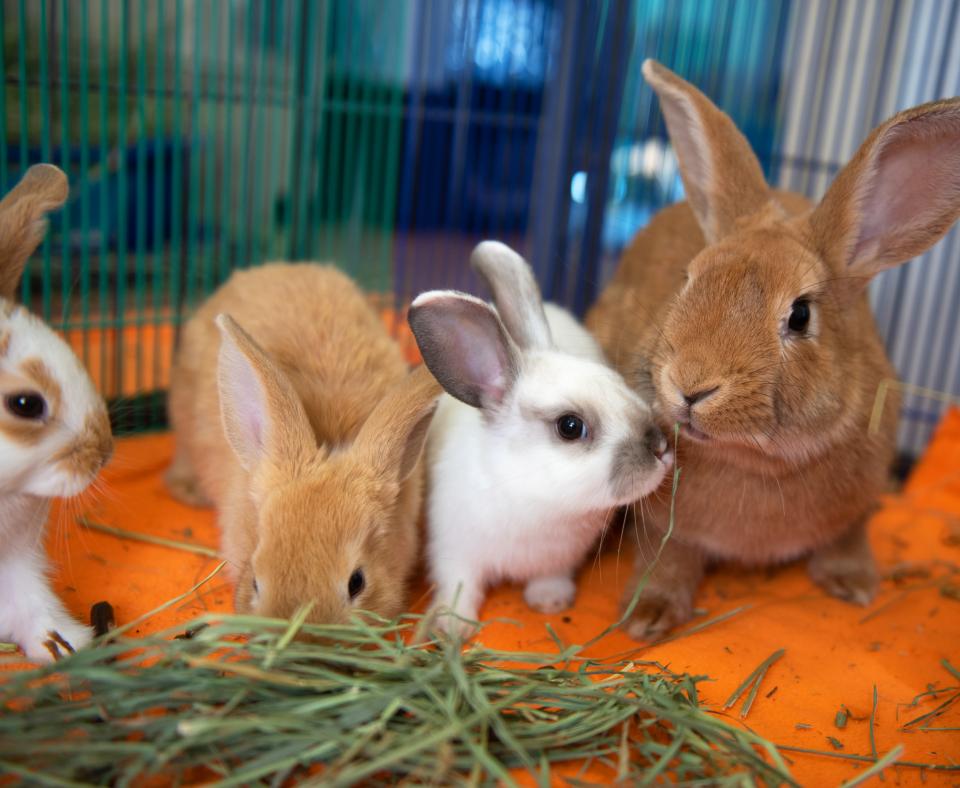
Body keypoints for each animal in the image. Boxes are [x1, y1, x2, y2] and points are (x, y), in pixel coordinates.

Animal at [408, 240, 672, 636]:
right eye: (570, 426)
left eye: (617, 381)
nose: (660, 448)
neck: (529, 495)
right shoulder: (453, 550)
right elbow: (460, 584)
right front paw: (453, 627)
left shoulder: (560, 558)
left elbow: (550, 577)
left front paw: (550, 601)